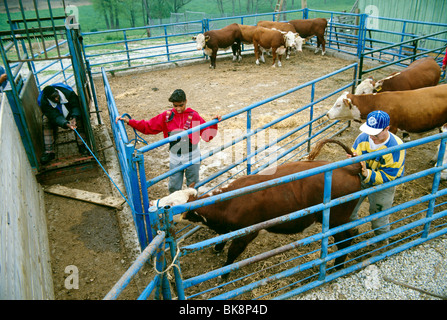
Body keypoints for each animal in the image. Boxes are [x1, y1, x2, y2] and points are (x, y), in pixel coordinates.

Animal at [180, 139, 362, 274]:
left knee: (345, 242)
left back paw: (336, 268)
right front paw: (217, 248)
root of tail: (350, 167)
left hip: (335, 220)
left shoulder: (247, 233)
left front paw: (224, 273)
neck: (228, 202)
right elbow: (222, 238)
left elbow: (232, 254)